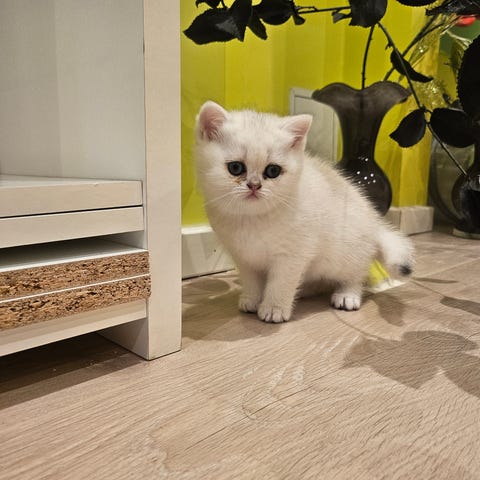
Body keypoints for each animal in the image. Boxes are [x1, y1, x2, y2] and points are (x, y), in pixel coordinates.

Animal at [195, 101, 414, 323]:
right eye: (236, 168)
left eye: (272, 171)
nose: (254, 186)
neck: (253, 219)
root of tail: (374, 221)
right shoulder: (244, 257)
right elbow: (251, 281)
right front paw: (251, 300)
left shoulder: (293, 255)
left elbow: (282, 282)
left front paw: (274, 308)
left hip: (346, 255)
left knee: (355, 274)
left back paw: (347, 295)